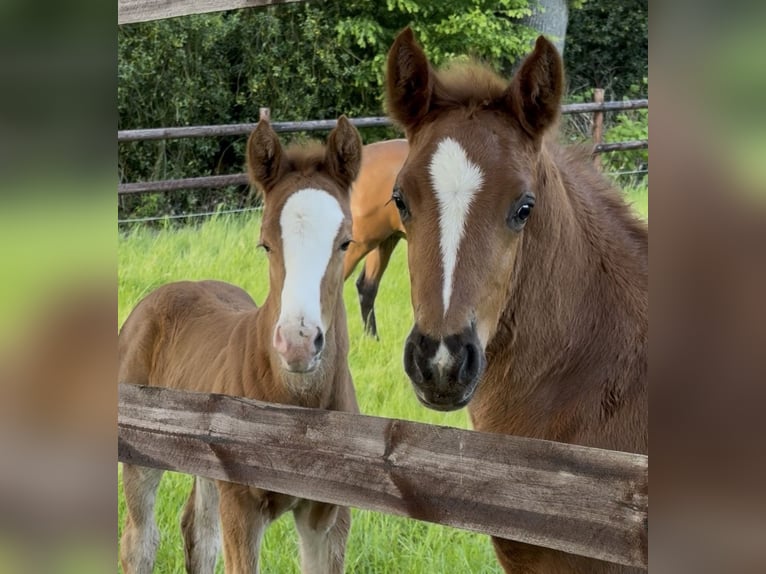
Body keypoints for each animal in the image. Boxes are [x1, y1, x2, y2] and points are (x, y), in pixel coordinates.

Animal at [118, 116, 362, 574]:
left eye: (346, 242)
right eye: (265, 243)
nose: (298, 344)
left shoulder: (330, 514)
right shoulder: (242, 506)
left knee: (198, 535)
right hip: (141, 455)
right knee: (140, 540)